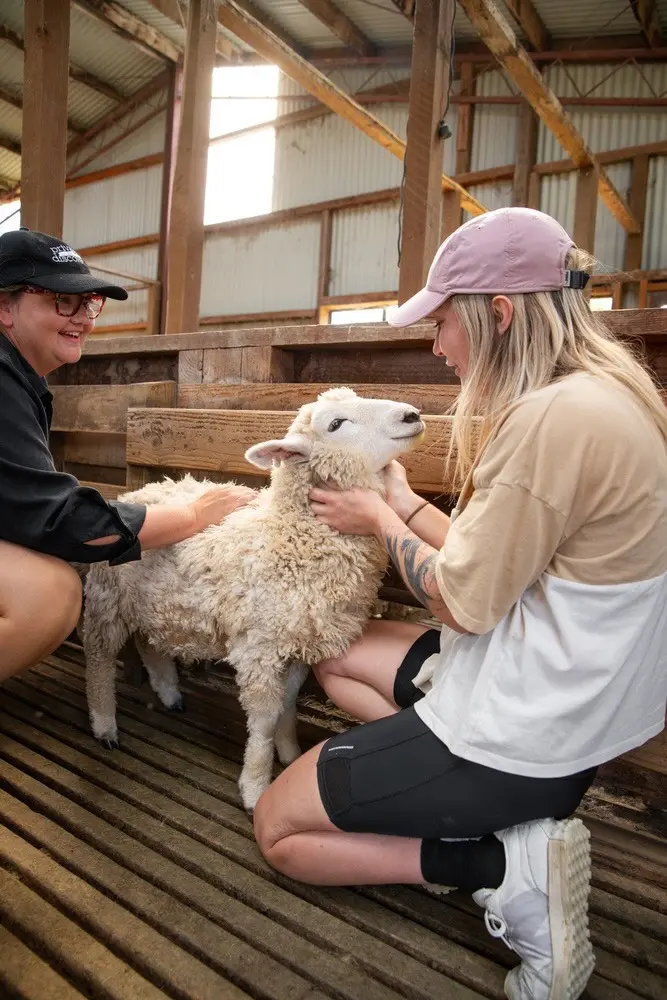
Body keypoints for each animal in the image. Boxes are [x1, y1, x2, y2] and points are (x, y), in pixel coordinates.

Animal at [82, 387, 425, 811]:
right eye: (336, 424)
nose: (412, 415)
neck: (289, 534)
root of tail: (139, 491)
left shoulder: (298, 640)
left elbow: (288, 705)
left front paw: (290, 753)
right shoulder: (260, 646)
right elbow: (264, 719)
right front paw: (256, 785)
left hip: (157, 603)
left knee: (151, 644)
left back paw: (169, 692)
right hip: (107, 600)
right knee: (98, 659)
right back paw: (104, 725)